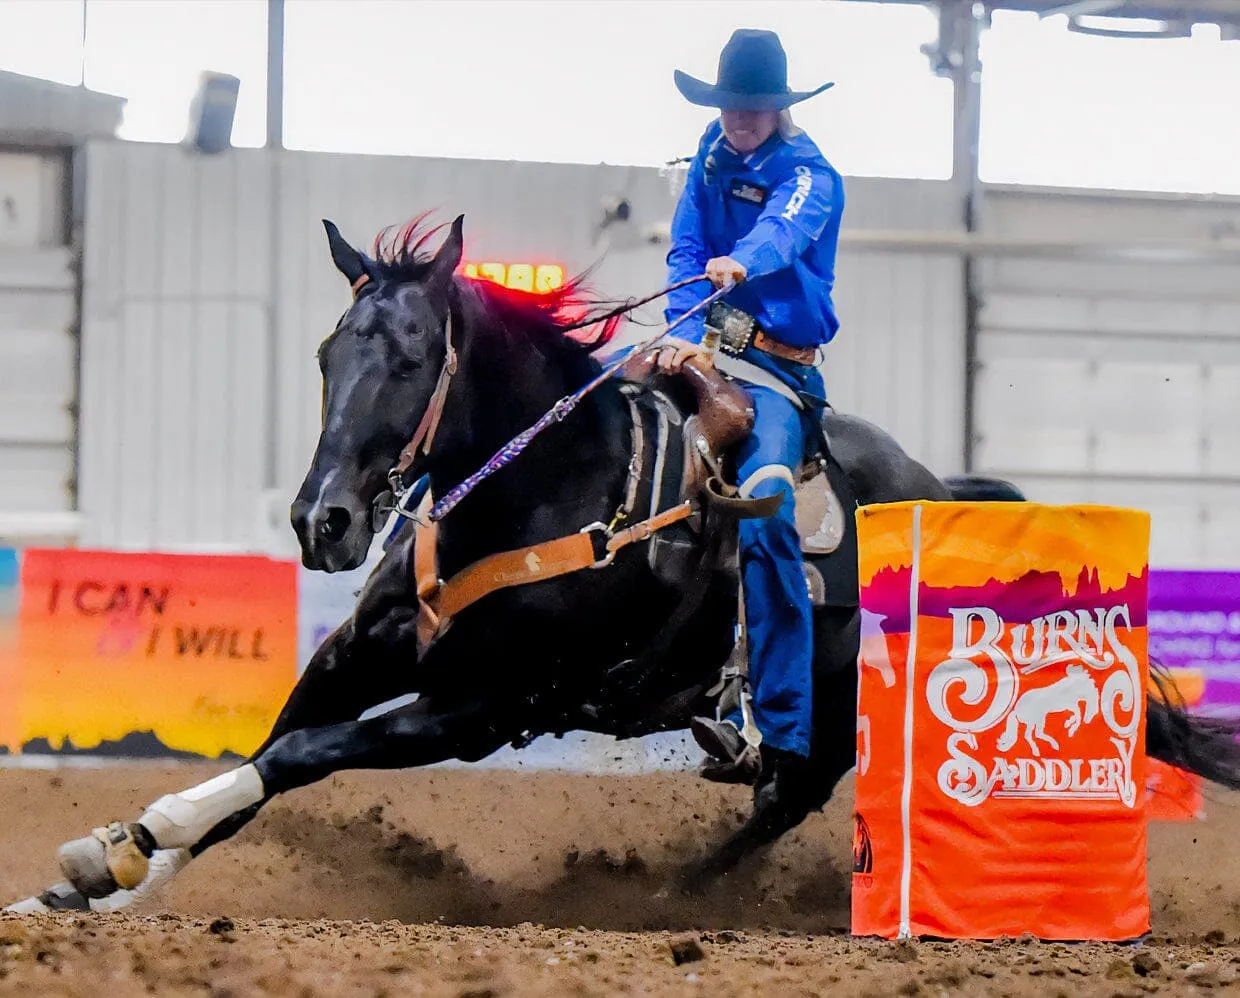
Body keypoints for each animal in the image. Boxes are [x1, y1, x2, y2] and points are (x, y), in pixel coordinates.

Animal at [16, 215, 1240, 912]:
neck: (539, 485)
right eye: (327, 353)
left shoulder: (483, 708)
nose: (324, 520)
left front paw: (129, 846)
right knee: (785, 794)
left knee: (793, 794)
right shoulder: (360, 655)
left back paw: (668, 898)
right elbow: (272, 750)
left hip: (842, 707)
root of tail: (941, 491)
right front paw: (106, 868)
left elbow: (302, 753)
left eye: (409, 356)